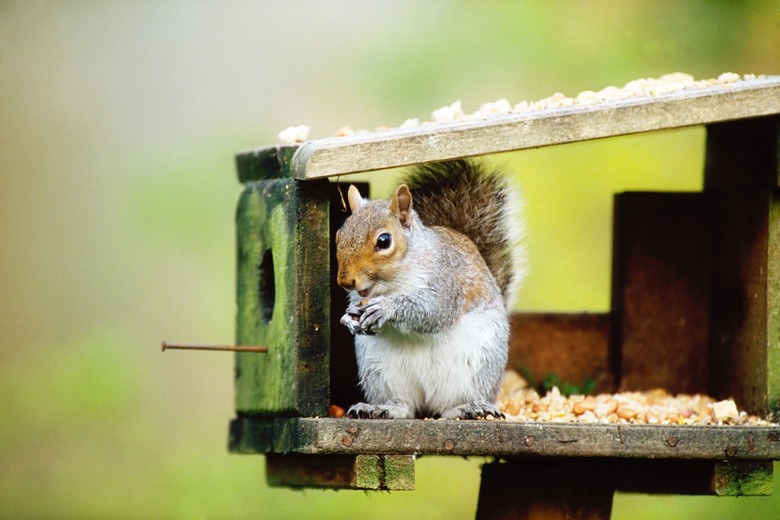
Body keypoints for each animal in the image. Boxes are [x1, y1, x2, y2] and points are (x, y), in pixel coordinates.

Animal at [336, 158, 524, 418]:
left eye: (384, 241)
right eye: (338, 235)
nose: (346, 281)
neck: (393, 283)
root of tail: (427, 401)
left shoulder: (446, 280)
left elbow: (433, 311)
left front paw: (386, 309)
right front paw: (348, 318)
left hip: (477, 367)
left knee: (449, 409)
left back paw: (469, 408)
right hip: (380, 372)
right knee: (403, 407)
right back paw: (379, 408)